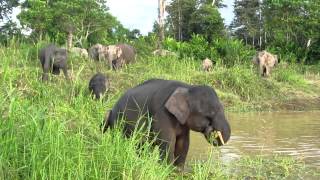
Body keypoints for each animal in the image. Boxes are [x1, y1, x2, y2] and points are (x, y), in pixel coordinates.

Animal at [101, 79, 231, 167]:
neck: (187, 88)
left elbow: (183, 143)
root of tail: (111, 110)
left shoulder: (182, 120)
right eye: (211, 113)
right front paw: (166, 169)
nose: (211, 129)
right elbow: (168, 142)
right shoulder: (162, 114)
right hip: (118, 124)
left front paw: (178, 171)